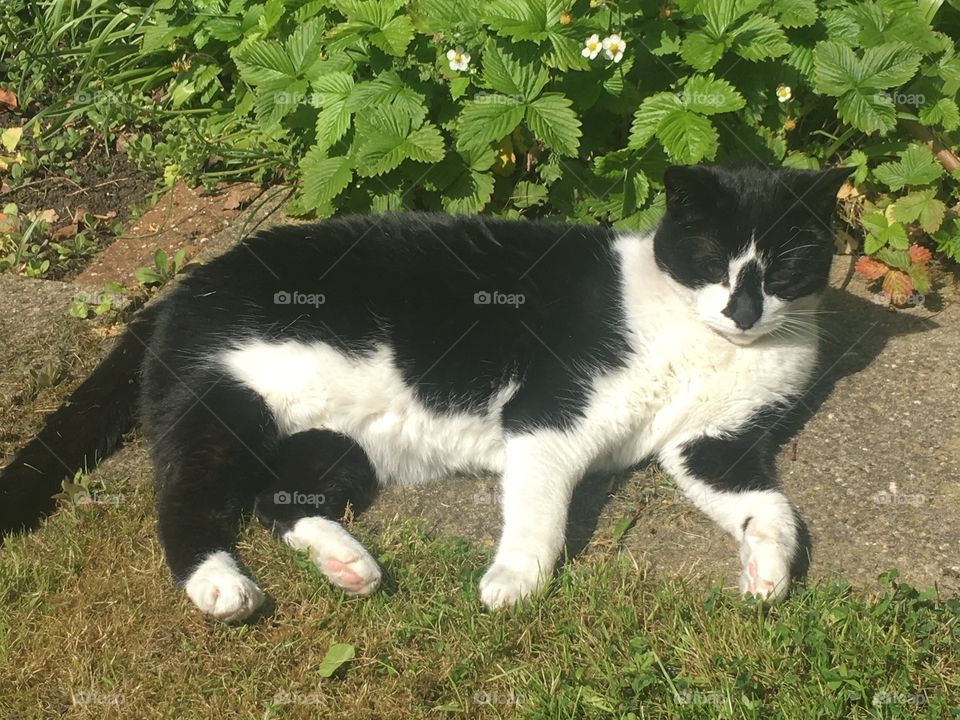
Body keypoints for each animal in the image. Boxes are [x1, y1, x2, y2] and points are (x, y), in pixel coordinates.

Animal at [3, 162, 852, 620]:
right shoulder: (551, 415)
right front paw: (513, 582)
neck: (705, 343)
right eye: (711, 259)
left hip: (330, 443)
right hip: (224, 403)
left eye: (785, 265)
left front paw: (767, 576)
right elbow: (541, 511)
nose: (743, 311)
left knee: (278, 497)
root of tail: (184, 286)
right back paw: (221, 585)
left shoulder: (713, 446)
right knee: (186, 501)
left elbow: (774, 511)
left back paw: (349, 565)